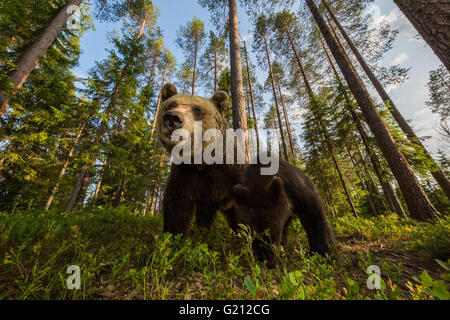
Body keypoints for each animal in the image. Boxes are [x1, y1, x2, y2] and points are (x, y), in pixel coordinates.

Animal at [155, 82, 334, 258]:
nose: (172, 118)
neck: (204, 162)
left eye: (197, 110)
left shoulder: (232, 174)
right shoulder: (186, 175)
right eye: (171, 104)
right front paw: (174, 245)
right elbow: (177, 209)